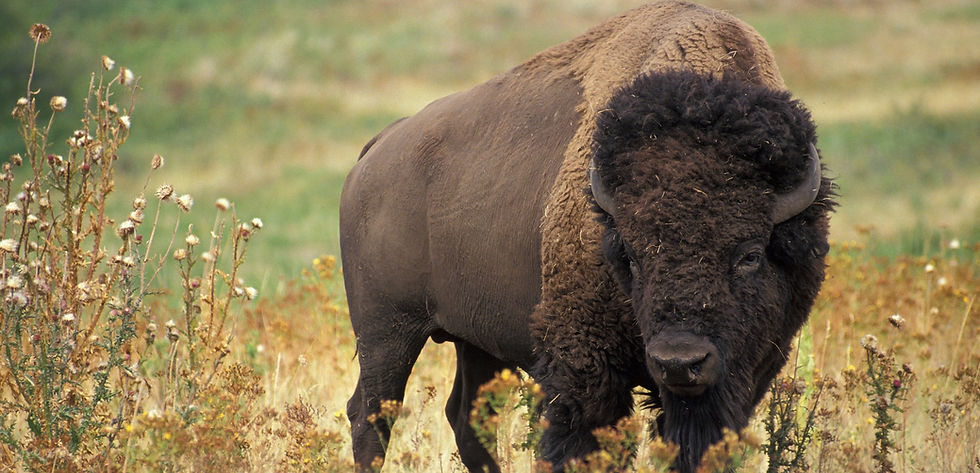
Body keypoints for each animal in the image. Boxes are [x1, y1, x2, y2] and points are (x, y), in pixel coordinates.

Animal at [339, 1, 834, 472]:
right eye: (630, 256)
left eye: (750, 254)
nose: (679, 361)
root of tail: (377, 150)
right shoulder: (584, 368)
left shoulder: (746, 373)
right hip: (387, 331)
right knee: (371, 416)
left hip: (474, 340)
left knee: (466, 417)